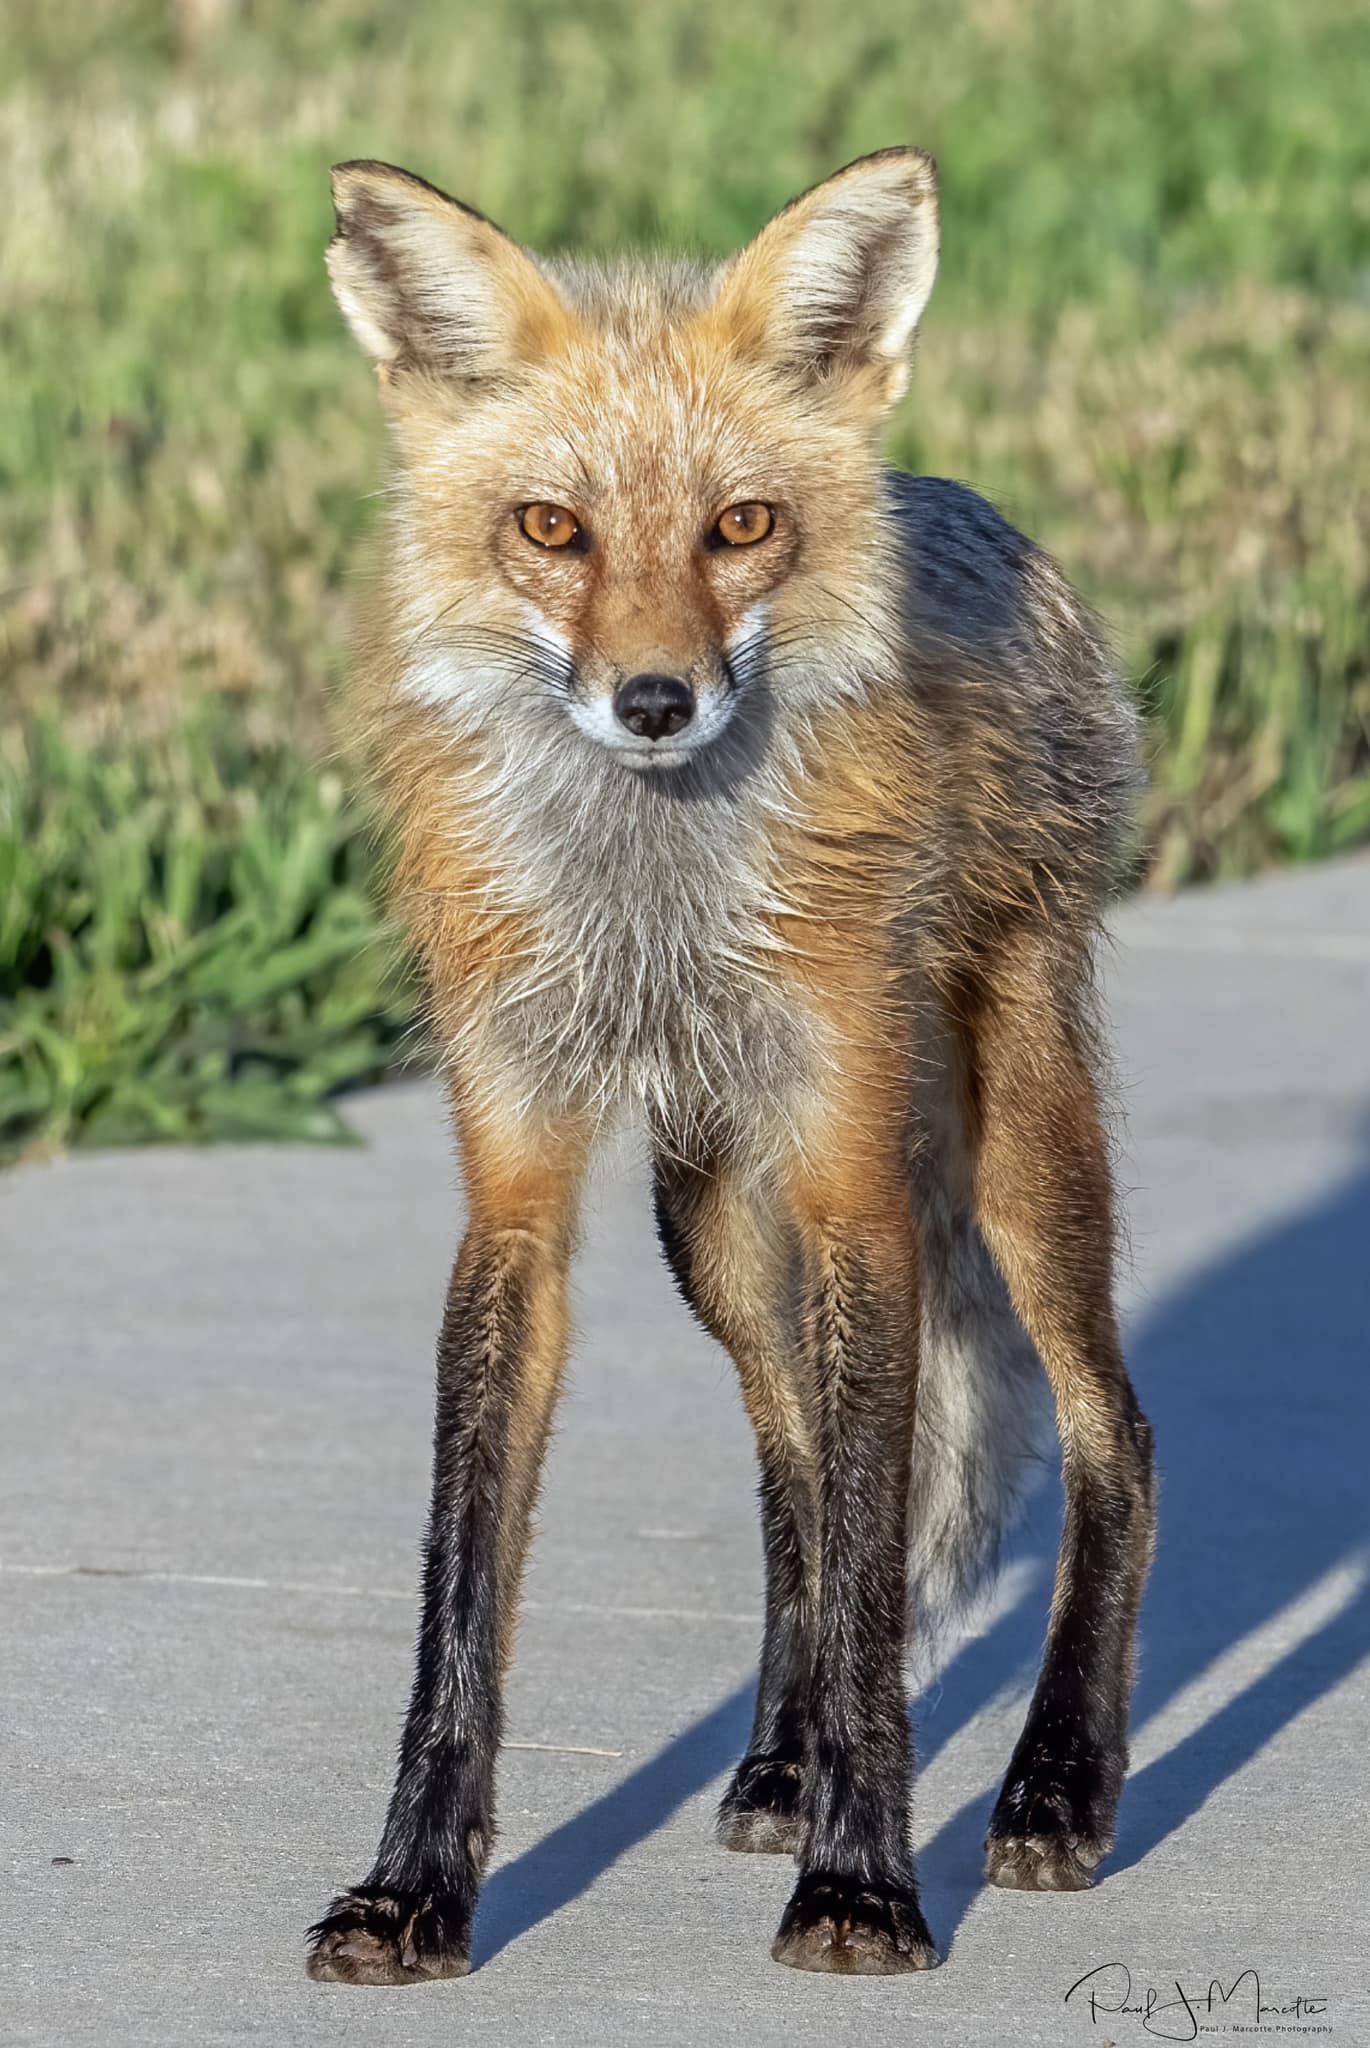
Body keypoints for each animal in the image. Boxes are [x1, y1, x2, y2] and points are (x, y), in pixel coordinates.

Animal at [305, 155, 1146, 1982]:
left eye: (740, 526)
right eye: (551, 528)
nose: (654, 699)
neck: (654, 900)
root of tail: (972, 506)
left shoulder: (850, 1179)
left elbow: (883, 1561)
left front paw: (864, 1884)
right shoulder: (519, 1188)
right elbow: (467, 1584)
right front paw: (413, 1888)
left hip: (1011, 1144)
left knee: (1112, 1431)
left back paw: (1057, 1782)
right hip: (708, 1219)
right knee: (794, 1474)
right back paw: (780, 1754)